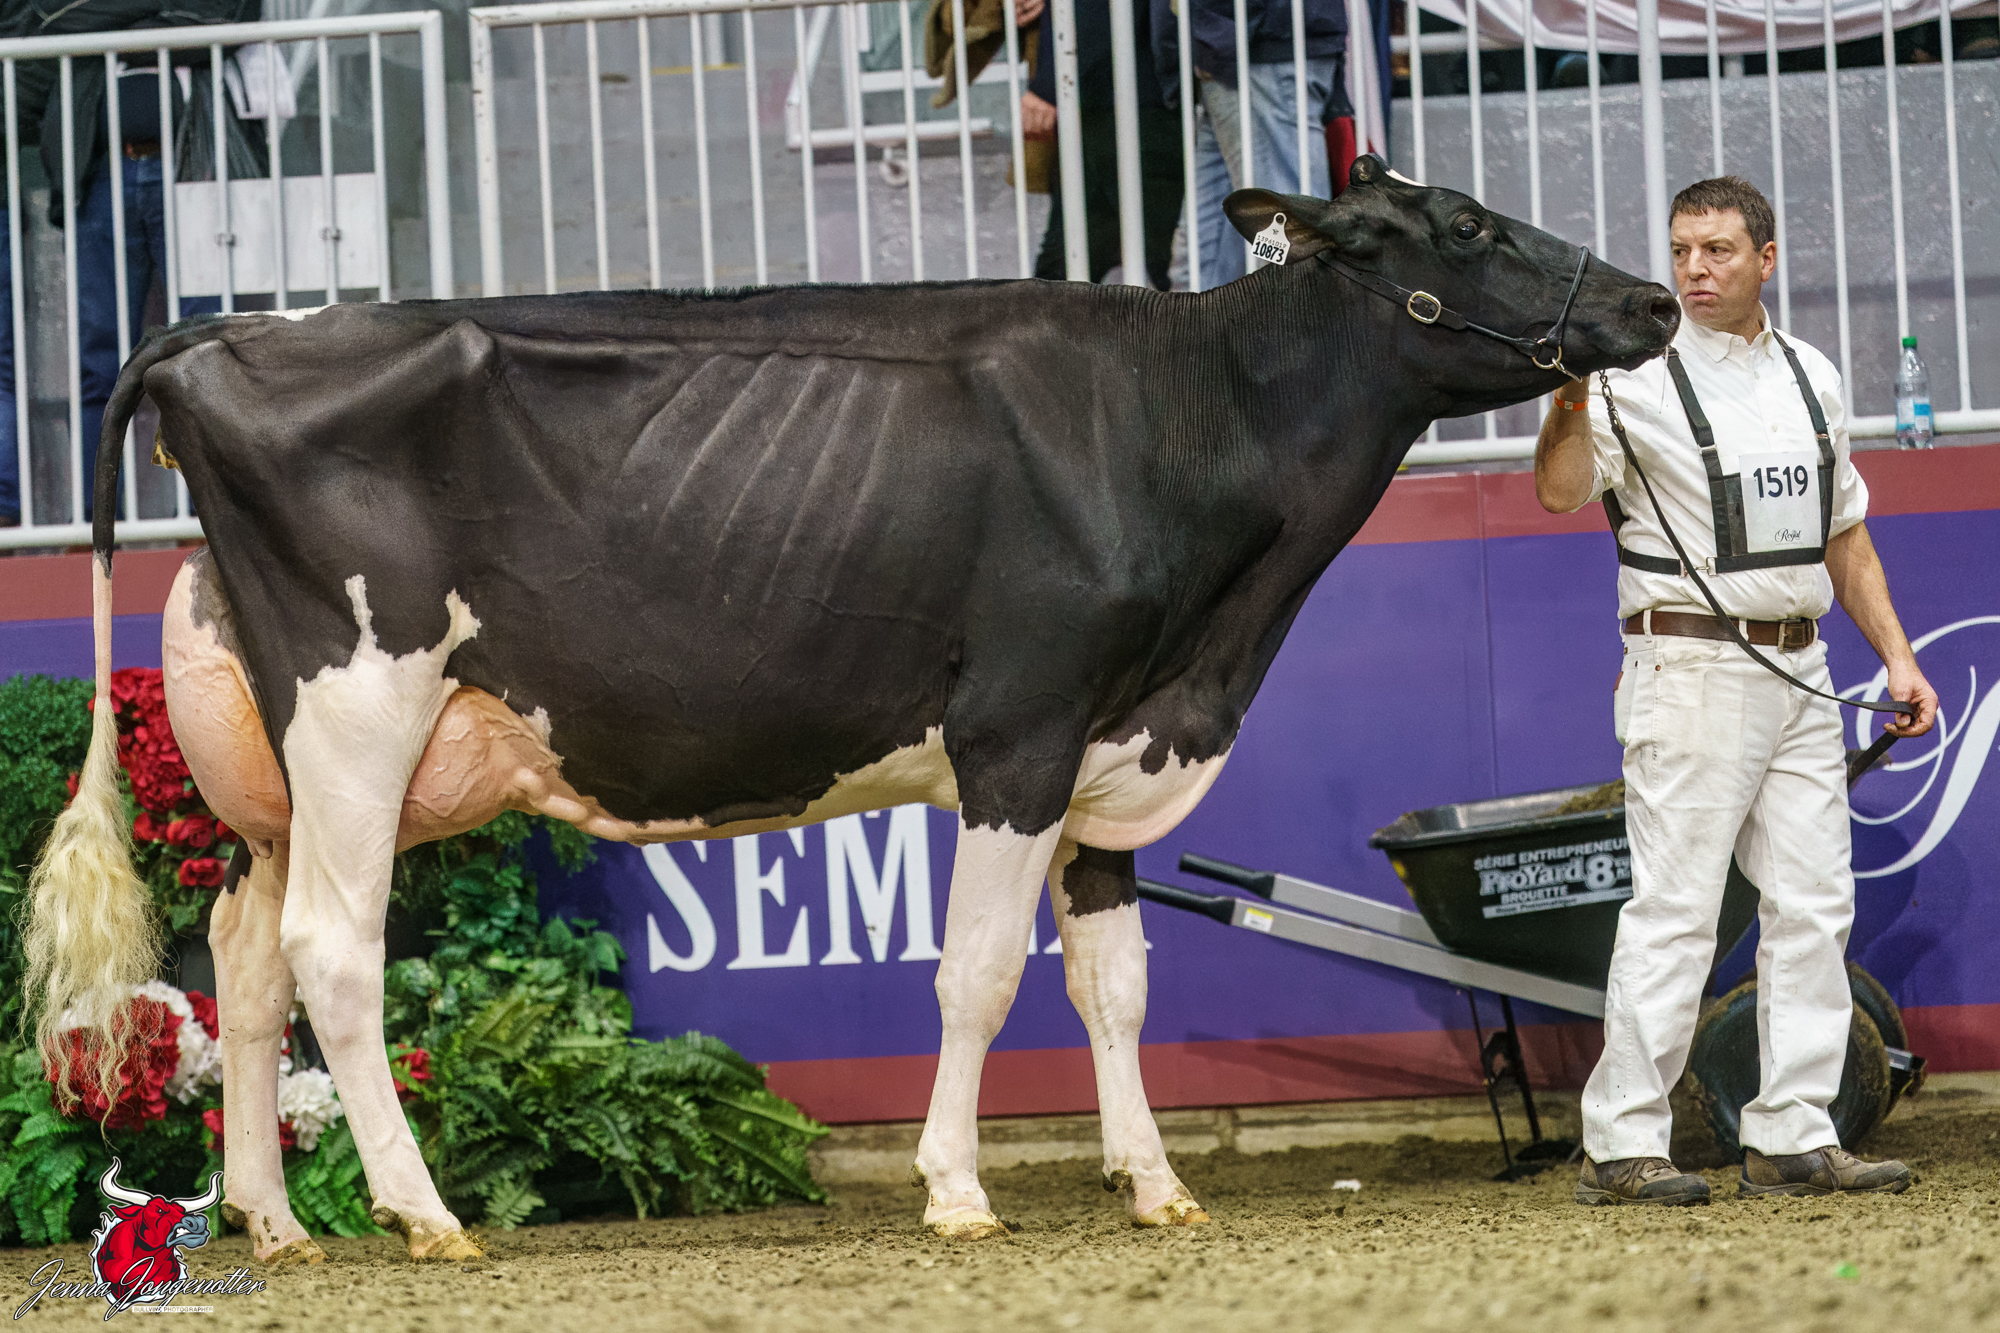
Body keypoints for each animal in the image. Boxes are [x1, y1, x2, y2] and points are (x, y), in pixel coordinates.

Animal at [27, 157, 1676, 1262]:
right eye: (1467, 228)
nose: (1656, 295)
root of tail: (223, 338)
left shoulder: (1113, 746)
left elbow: (1115, 987)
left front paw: (1155, 1182)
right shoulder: (1022, 726)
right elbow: (977, 978)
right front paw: (958, 1189)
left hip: (272, 766)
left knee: (243, 959)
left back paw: (273, 1220)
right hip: (361, 705)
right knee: (331, 953)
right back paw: (423, 1214)